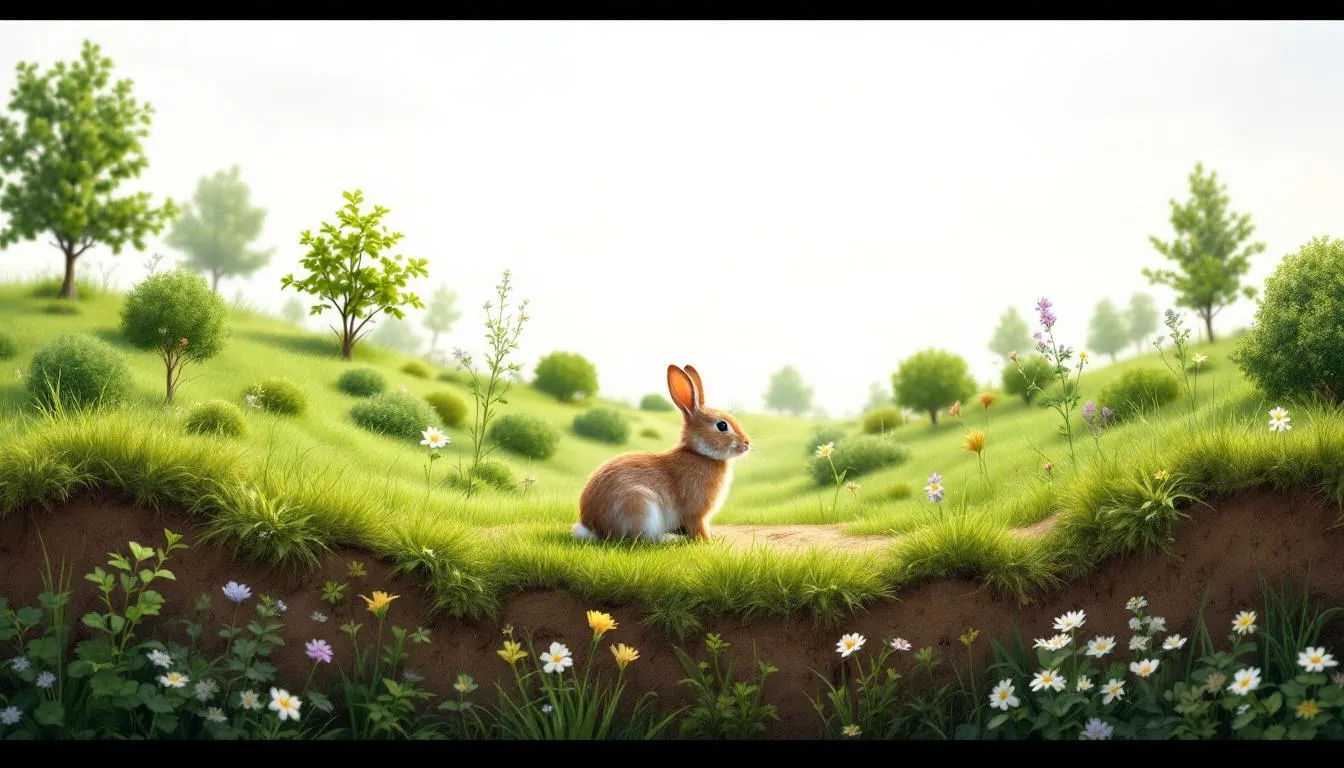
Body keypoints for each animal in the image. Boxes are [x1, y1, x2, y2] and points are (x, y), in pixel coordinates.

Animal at [572, 364, 751, 543]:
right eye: (722, 425)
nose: (747, 443)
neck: (700, 454)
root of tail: (593, 526)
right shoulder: (696, 512)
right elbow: (698, 527)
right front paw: (708, 540)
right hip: (640, 507)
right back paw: (670, 538)